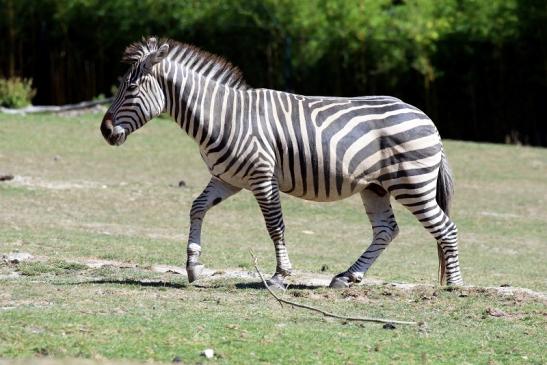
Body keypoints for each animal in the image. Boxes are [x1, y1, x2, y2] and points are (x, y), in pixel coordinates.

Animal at [100, 37, 464, 288]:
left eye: (131, 88)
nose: (104, 131)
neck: (223, 116)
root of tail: (426, 118)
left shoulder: (261, 177)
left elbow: (275, 226)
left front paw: (279, 276)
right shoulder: (227, 178)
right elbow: (197, 208)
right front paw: (193, 266)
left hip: (411, 184)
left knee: (445, 228)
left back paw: (455, 287)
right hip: (375, 187)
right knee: (387, 230)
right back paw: (347, 277)